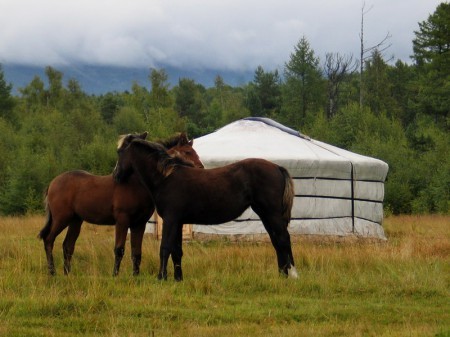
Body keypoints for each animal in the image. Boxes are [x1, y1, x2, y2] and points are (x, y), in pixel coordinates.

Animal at [38, 131, 204, 276]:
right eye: (187, 152)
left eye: (194, 151)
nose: (201, 169)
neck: (135, 184)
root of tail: (53, 183)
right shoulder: (122, 220)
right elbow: (119, 249)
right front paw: (115, 275)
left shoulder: (139, 224)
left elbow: (136, 252)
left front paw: (135, 276)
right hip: (61, 219)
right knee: (49, 239)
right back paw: (52, 272)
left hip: (75, 221)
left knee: (67, 246)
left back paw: (67, 273)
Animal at [112, 138, 298, 280]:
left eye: (120, 153)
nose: (116, 175)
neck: (166, 178)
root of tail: (277, 167)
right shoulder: (178, 222)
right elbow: (176, 251)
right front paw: (178, 278)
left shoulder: (171, 220)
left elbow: (165, 248)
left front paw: (161, 277)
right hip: (265, 214)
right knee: (276, 241)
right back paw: (282, 274)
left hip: (272, 214)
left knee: (283, 239)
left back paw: (292, 274)